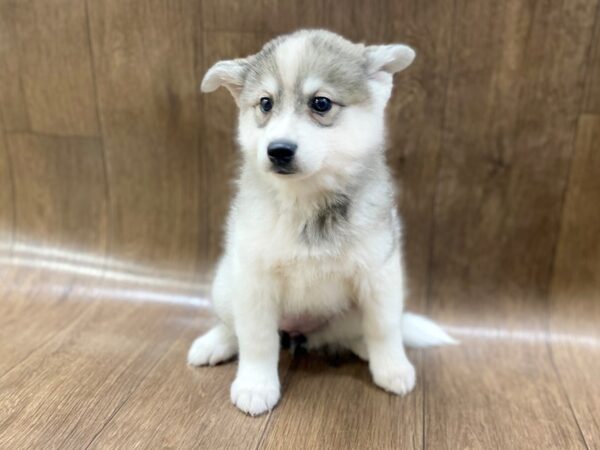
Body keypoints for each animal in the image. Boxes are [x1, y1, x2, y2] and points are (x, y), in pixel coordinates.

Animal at [189, 29, 454, 416]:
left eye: (321, 103)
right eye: (265, 104)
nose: (278, 150)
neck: (308, 202)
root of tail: (302, 332)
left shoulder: (380, 274)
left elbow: (385, 327)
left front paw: (391, 367)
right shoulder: (254, 279)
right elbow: (256, 339)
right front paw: (256, 384)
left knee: (353, 332)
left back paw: (363, 347)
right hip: (225, 283)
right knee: (233, 326)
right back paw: (214, 344)